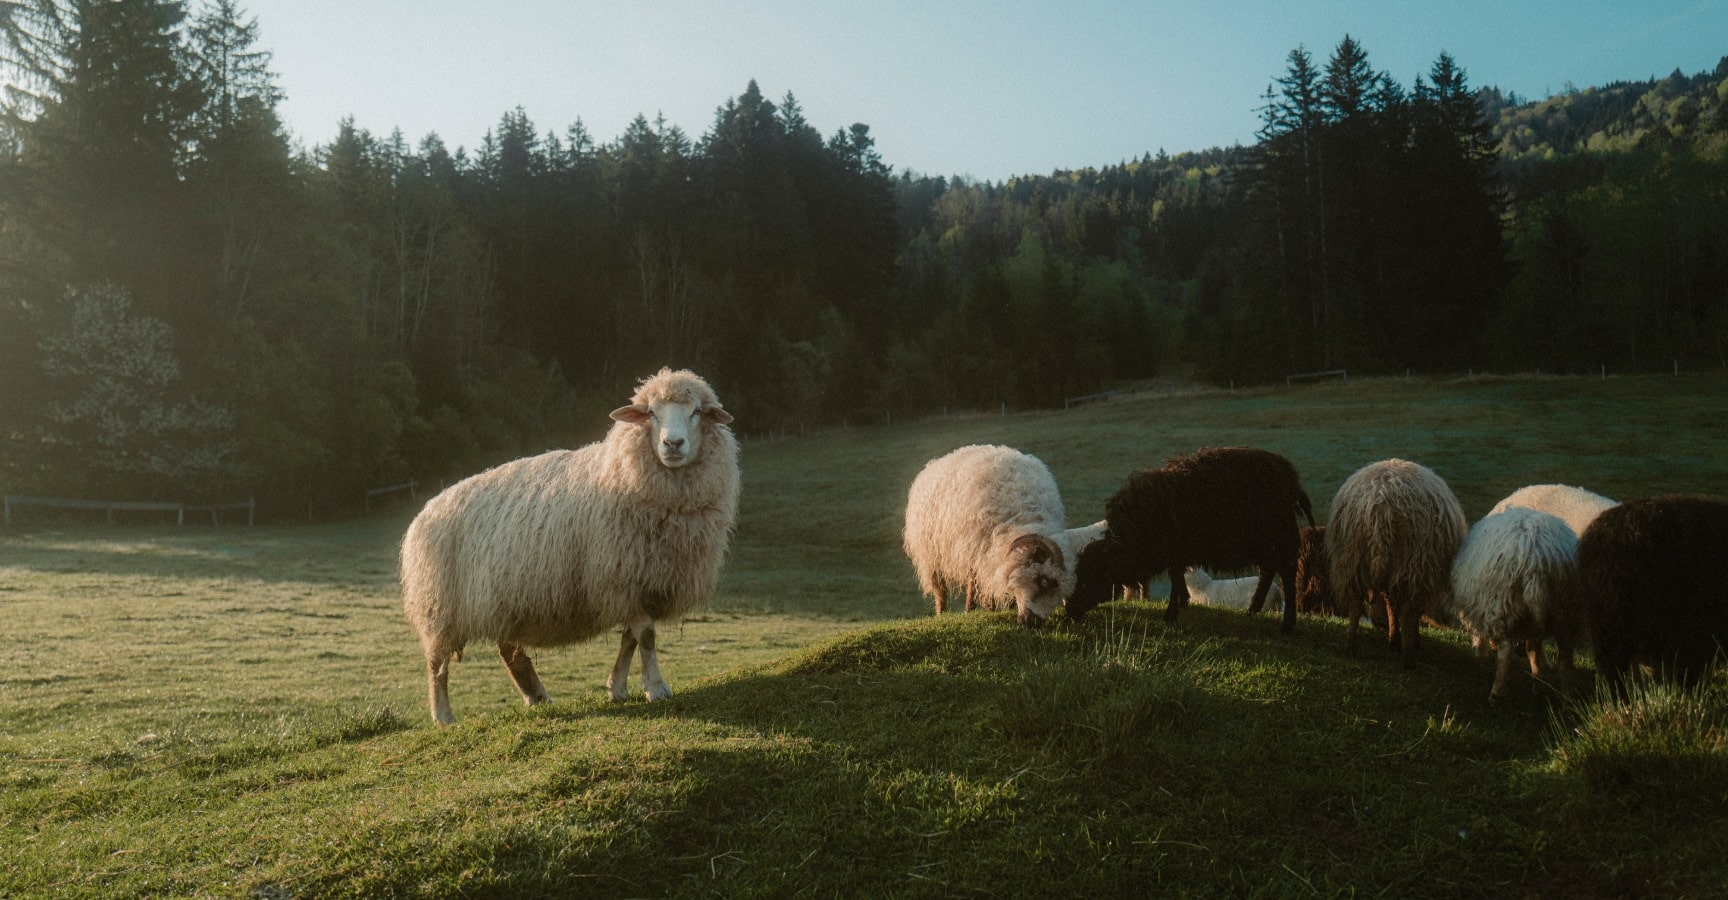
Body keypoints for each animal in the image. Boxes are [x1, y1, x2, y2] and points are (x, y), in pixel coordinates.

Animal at [401, 368, 741, 724]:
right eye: (651, 413)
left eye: (697, 412)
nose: (672, 444)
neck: (622, 471)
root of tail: (425, 512)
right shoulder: (621, 576)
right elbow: (645, 637)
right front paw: (656, 688)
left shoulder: (636, 583)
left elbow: (630, 638)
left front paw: (618, 688)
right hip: (439, 607)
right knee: (437, 662)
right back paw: (443, 715)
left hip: (504, 600)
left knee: (509, 651)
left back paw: (536, 696)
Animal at [902, 444, 1102, 627]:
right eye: (1044, 581)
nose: (1032, 623)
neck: (1023, 519)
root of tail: (939, 460)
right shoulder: (982, 550)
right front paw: (991, 609)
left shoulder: (986, 554)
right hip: (932, 555)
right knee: (941, 590)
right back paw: (943, 613)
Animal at [1067, 446, 1314, 633]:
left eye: (1088, 580)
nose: (1068, 613)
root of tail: (1290, 475)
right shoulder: (1176, 553)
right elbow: (1177, 578)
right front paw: (1182, 603)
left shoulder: (1176, 550)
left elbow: (1176, 578)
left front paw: (1171, 613)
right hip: (1264, 543)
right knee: (1268, 571)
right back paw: (1253, 609)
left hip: (1279, 537)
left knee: (1287, 575)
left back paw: (1287, 624)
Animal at [1326, 459, 1467, 666]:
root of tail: (1380, 507)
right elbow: (1406, 610)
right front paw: (1408, 640)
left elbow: (1390, 604)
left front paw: (1394, 639)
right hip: (1415, 563)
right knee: (1408, 610)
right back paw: (1408, 661)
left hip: (1350, 559)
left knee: (1355, 604)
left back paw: (1350, 647)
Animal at [1448, 507, 1583, 704]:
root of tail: (1536, 563)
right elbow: (1533, 649)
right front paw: (1538, 681)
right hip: (1566, 612)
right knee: (1565, 659)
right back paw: (1566, 699)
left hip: (1501, 606)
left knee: (1506, 652)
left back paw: (1496, 694)